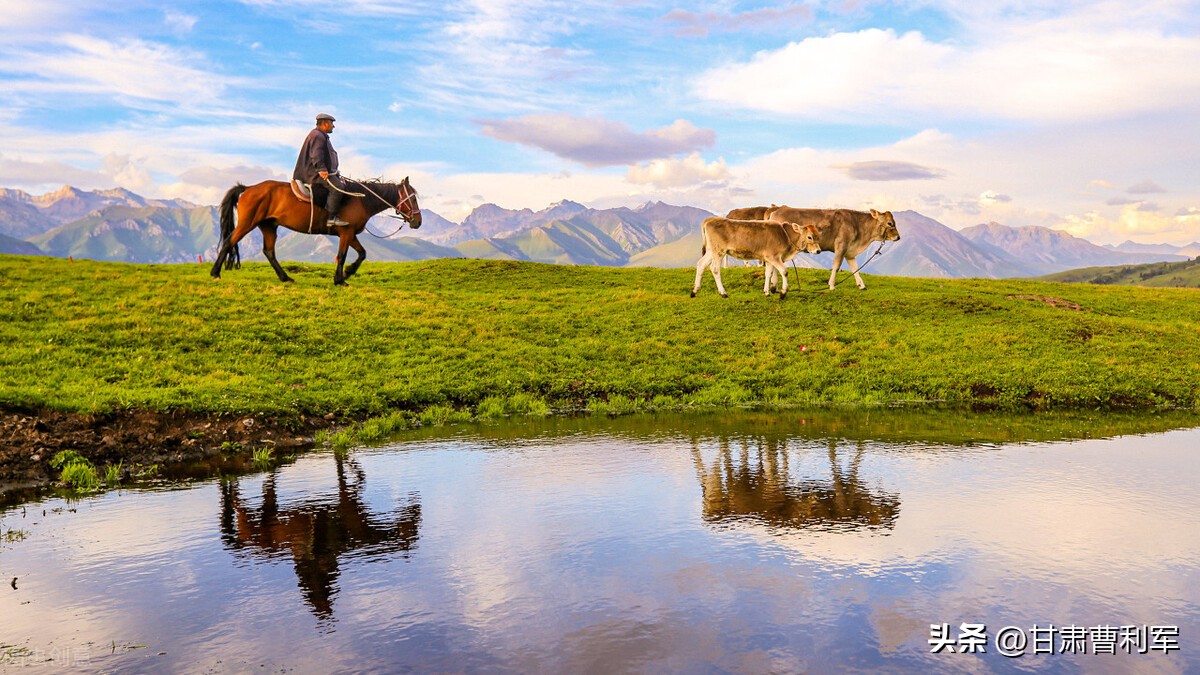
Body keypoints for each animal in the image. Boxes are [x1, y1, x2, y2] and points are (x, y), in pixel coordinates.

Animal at [210, 176, 422, 283]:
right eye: (412, 197)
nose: (418, 222)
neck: (360, 200)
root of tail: (248, 188)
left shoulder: (351, 234)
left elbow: (362, 254)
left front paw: (348, 272)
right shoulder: (346, 233)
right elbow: (342, 255)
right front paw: (340, 279)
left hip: (269, 226)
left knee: (269, 251)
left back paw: (285, 278)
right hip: (247, 224)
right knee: (229, 242)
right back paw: (215, 273)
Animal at [696, 216, 825, 297]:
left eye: (818, 236)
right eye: (809, 237)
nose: (818, 250)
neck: (785, 235)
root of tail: (710, 219)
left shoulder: (769, 259)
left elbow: (769, 273)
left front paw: (767, 292)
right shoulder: (774, 257)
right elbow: (784, 271)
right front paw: (783, 292)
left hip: (711, 251)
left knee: (701, 264)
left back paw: (695, 290)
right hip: (719, 251)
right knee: (715, 269)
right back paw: (723, 293)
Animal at [768, 205, 902, 289]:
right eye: (890, 223)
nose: (898, 237)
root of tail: (777, 209)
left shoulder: (850, 251)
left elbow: (855, 267)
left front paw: (861, 285)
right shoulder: (841, 246)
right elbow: (836, 266)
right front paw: (832, 285)